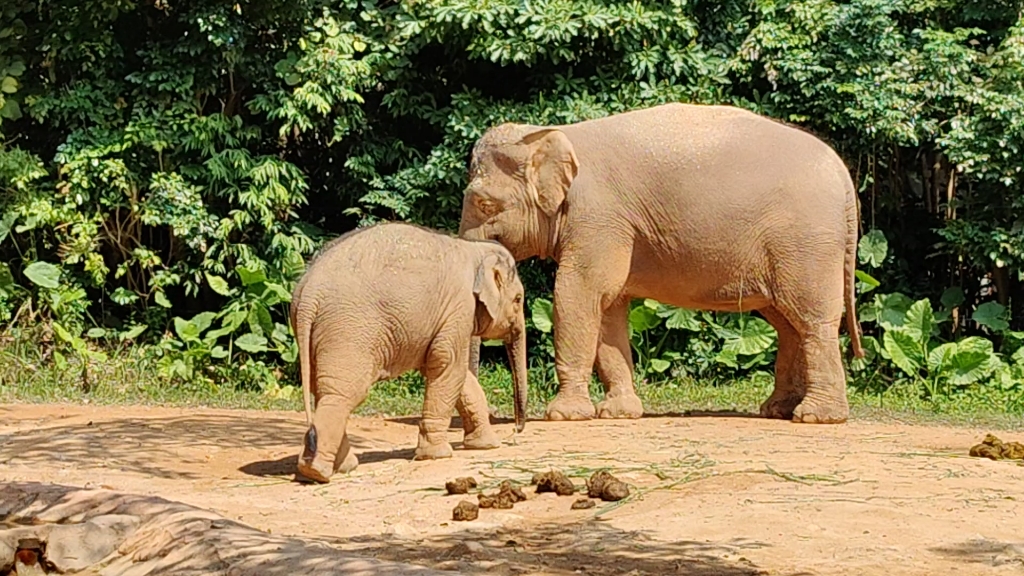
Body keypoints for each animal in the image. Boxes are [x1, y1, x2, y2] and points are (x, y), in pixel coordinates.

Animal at [288, 219, 528, 479]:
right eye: (518, 299)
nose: (517, 430)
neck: (474, 249)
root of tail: (308, 293)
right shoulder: (459, 306)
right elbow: (448, 367)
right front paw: (438, 455)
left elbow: (456, 375)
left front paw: (486, 446)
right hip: (347, 331)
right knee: (343, 394)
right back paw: (319, 472)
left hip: (317, 336)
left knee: (323, 391)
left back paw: (341, 467)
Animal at [462, 101, 864, 422]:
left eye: (483, 203)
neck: (553, 134)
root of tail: (844, 175)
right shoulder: (613, 226)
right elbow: (609, 307)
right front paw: (618, 413)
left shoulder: (598, 217)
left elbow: (579, 294)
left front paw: (565, 415)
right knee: (786, 322)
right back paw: (778, 410)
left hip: (807, 242)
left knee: (811, 319)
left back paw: (816, 417)